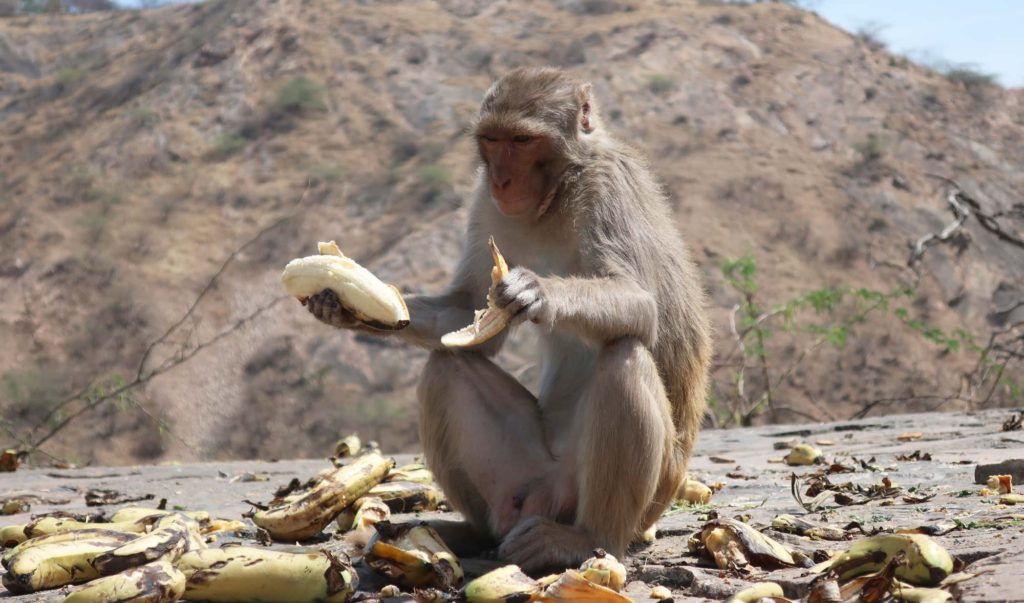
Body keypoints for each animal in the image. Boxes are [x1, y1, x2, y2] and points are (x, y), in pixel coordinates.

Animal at [304, 67, 712, 571]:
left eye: (522, 140)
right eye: (492, 140)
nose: (502, 180)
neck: (557, 193)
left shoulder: (608, 185)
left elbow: (642, 305)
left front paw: (536, 291)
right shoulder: (483, 201)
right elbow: (466, 314)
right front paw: (338, 304)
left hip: (641, 496)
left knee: (625, 354)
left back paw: (586, 539)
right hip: (523, 473)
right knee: (445, 365)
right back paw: (473, 532)